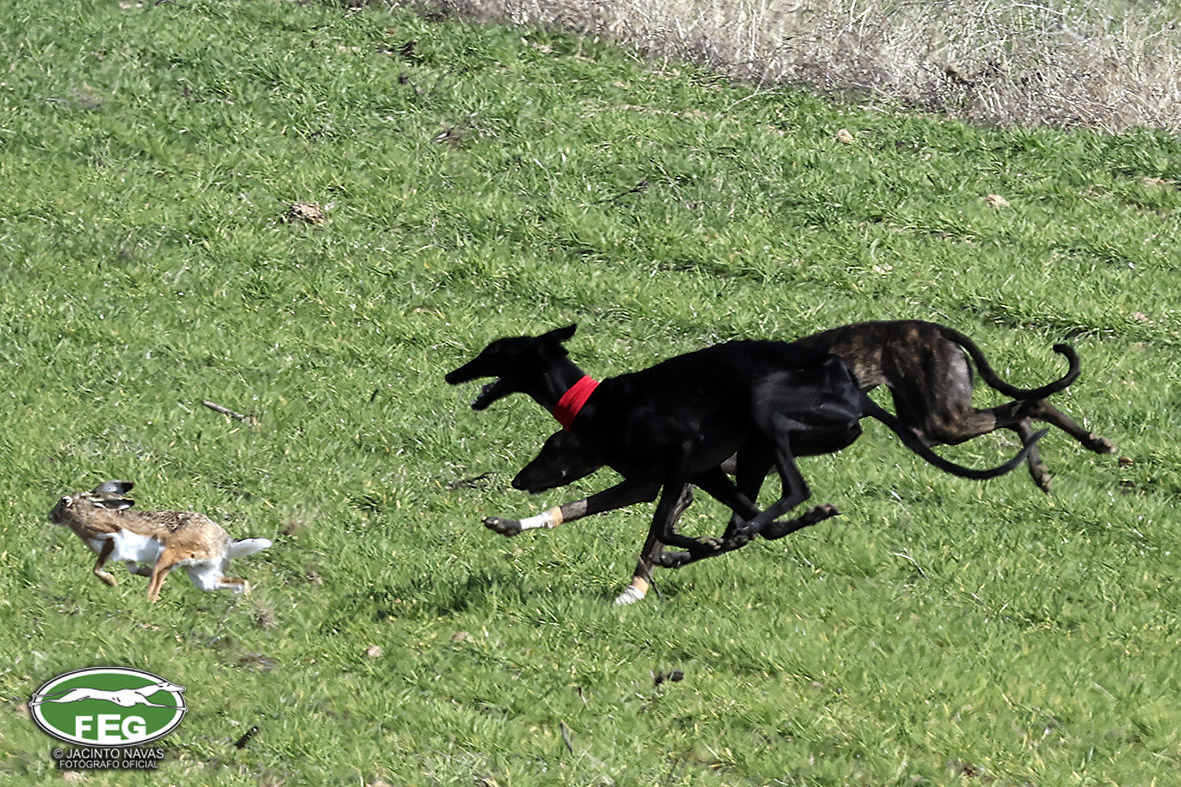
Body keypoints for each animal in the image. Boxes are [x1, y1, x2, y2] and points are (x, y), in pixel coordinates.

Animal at [482, 320, 1113, 601]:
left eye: (553, 446)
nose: (520, 478)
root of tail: (932, 328)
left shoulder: (680, 481)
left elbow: (662, 533)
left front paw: (641, 584)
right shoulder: (655, 482)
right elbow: (586, 508)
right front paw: (510, 524)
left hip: (938, 421)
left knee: (1030, 403)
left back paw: (1076, 451)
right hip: (931, 421)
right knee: (1023, 407)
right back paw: (1049, 461)